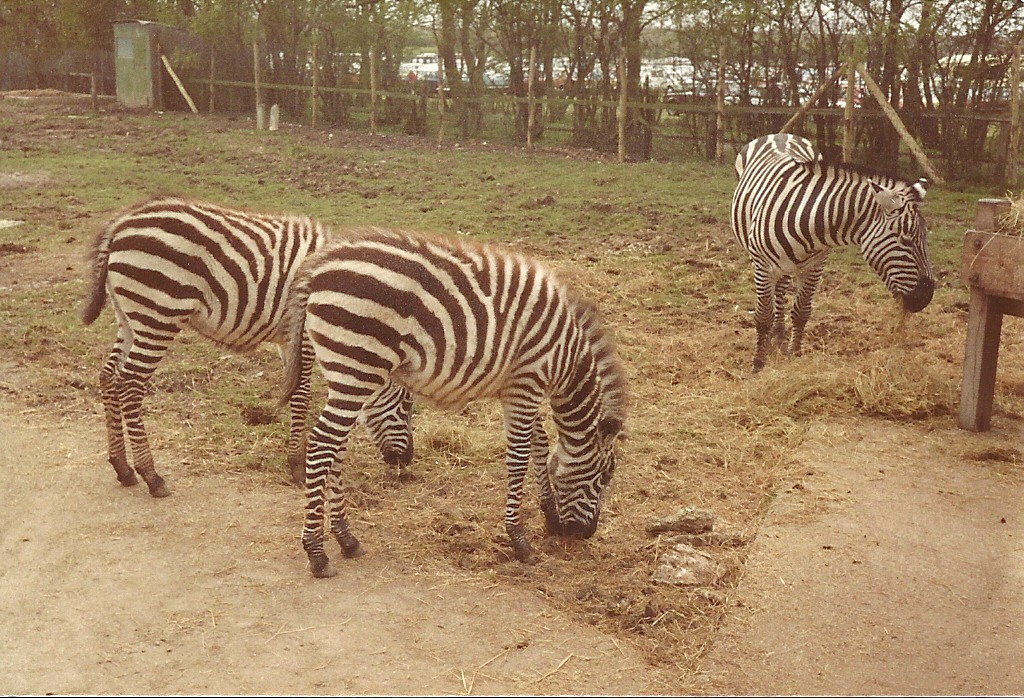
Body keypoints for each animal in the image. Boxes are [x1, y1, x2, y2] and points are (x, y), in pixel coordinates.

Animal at [81, 196, 414, 497]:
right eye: (406, 406)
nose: (407, 462)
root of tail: (123, 220)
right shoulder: (305, 337)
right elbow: (301, 394)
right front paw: (297, 465)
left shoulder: (289, 340)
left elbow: (295, 391)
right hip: (158, 314)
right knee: (130, 384)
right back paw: (151, 475)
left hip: (129, 316)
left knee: (108, 376)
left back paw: (122, 467)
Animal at [280, 226, 627, 577]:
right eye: (605, 476)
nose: (586, 533)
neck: (566, 358)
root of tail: (318, 264)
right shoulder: (526, 383)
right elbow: (519, 458)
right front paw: (519, 540)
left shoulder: (516, 390)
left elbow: (540, 445)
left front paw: (550, 514)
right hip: (357, 365)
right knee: (322, 443)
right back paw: (316, 552)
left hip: (343, 371)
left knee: (335, 446)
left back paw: (346, 539)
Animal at [730, 133, 934, 372]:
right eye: (906, 240)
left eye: (925, 238)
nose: (926, 298)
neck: (808, 220)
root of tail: (780, 134)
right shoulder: (762, 266)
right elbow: (762, 316)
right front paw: (758, 365)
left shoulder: (816, 265)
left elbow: (802, 311)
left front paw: (794, 354)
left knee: (781, 288)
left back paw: (779, 335)